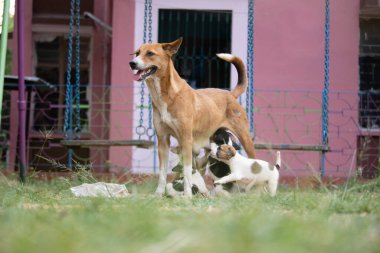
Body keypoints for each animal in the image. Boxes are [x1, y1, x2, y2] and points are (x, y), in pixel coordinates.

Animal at [129, 37, 256, 197]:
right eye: (137, 53)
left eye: (150, 53)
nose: (132, 63)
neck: (166, 95)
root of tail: (230, 94)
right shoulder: (163, 141)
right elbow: (163, 172)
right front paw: (158, 194)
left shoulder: (186, 140)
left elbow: (187, 171)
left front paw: (188, 196)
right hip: (204, 155)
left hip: (245, 139)